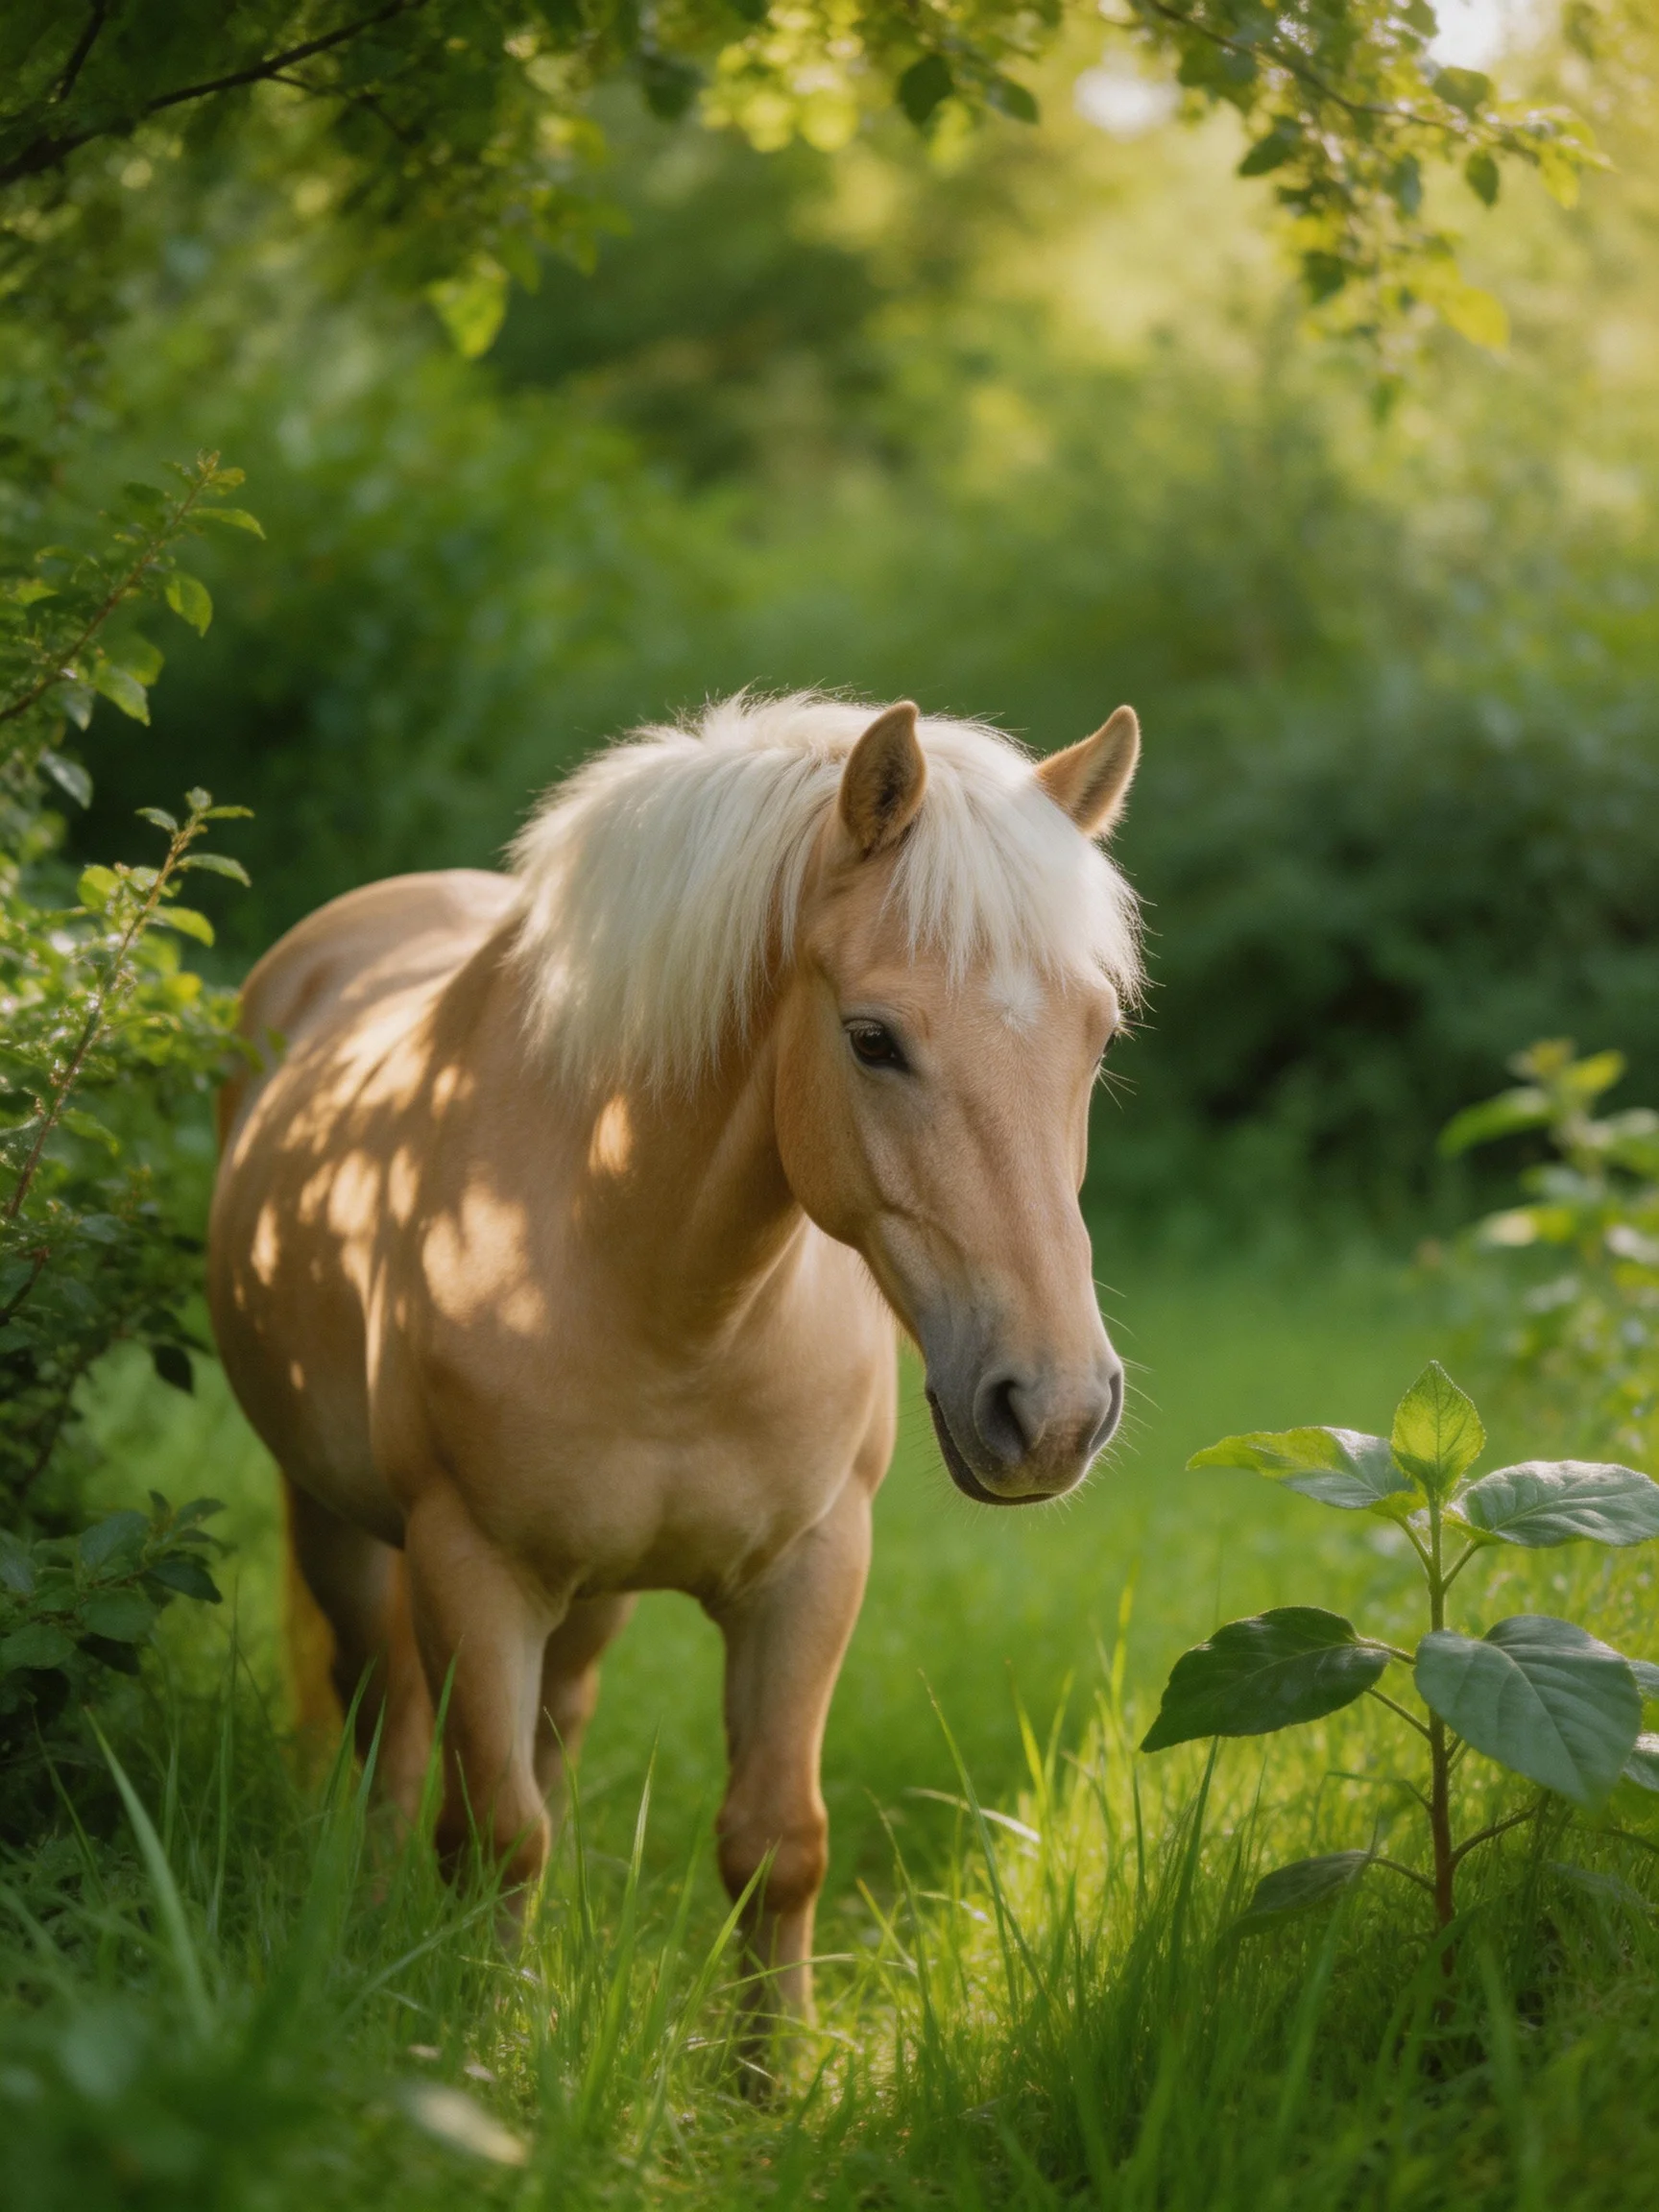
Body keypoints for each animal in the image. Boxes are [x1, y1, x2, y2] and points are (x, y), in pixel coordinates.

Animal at [208, 691, 1143, 2039]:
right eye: (873, 1039)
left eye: (1097, 1036)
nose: (1054, 1411)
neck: (657, 1291)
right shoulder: (470, 1567)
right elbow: (495, 1837)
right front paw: (480, 2054)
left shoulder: (810, 1571)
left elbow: (776, 1847)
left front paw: (774, 2077)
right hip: (341, 1527)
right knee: (386, 1724)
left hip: (586, 1597)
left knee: (546, 1728)